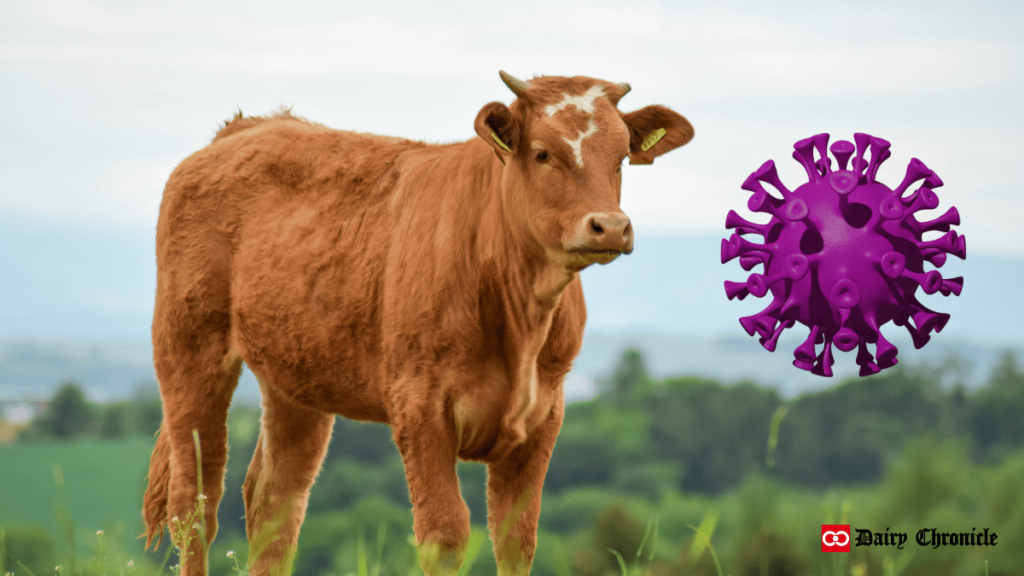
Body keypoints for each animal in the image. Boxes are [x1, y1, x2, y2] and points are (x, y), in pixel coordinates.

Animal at [140, 71, 692, 573]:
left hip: (296, 380)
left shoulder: (543, 415)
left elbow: (517, 538)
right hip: (189, 350)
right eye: (542, 153)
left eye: (621, 158)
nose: (610, 226)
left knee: (273, 503)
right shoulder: (419, 405)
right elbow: (444, 535)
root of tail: (250, 126)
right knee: (194, 506)